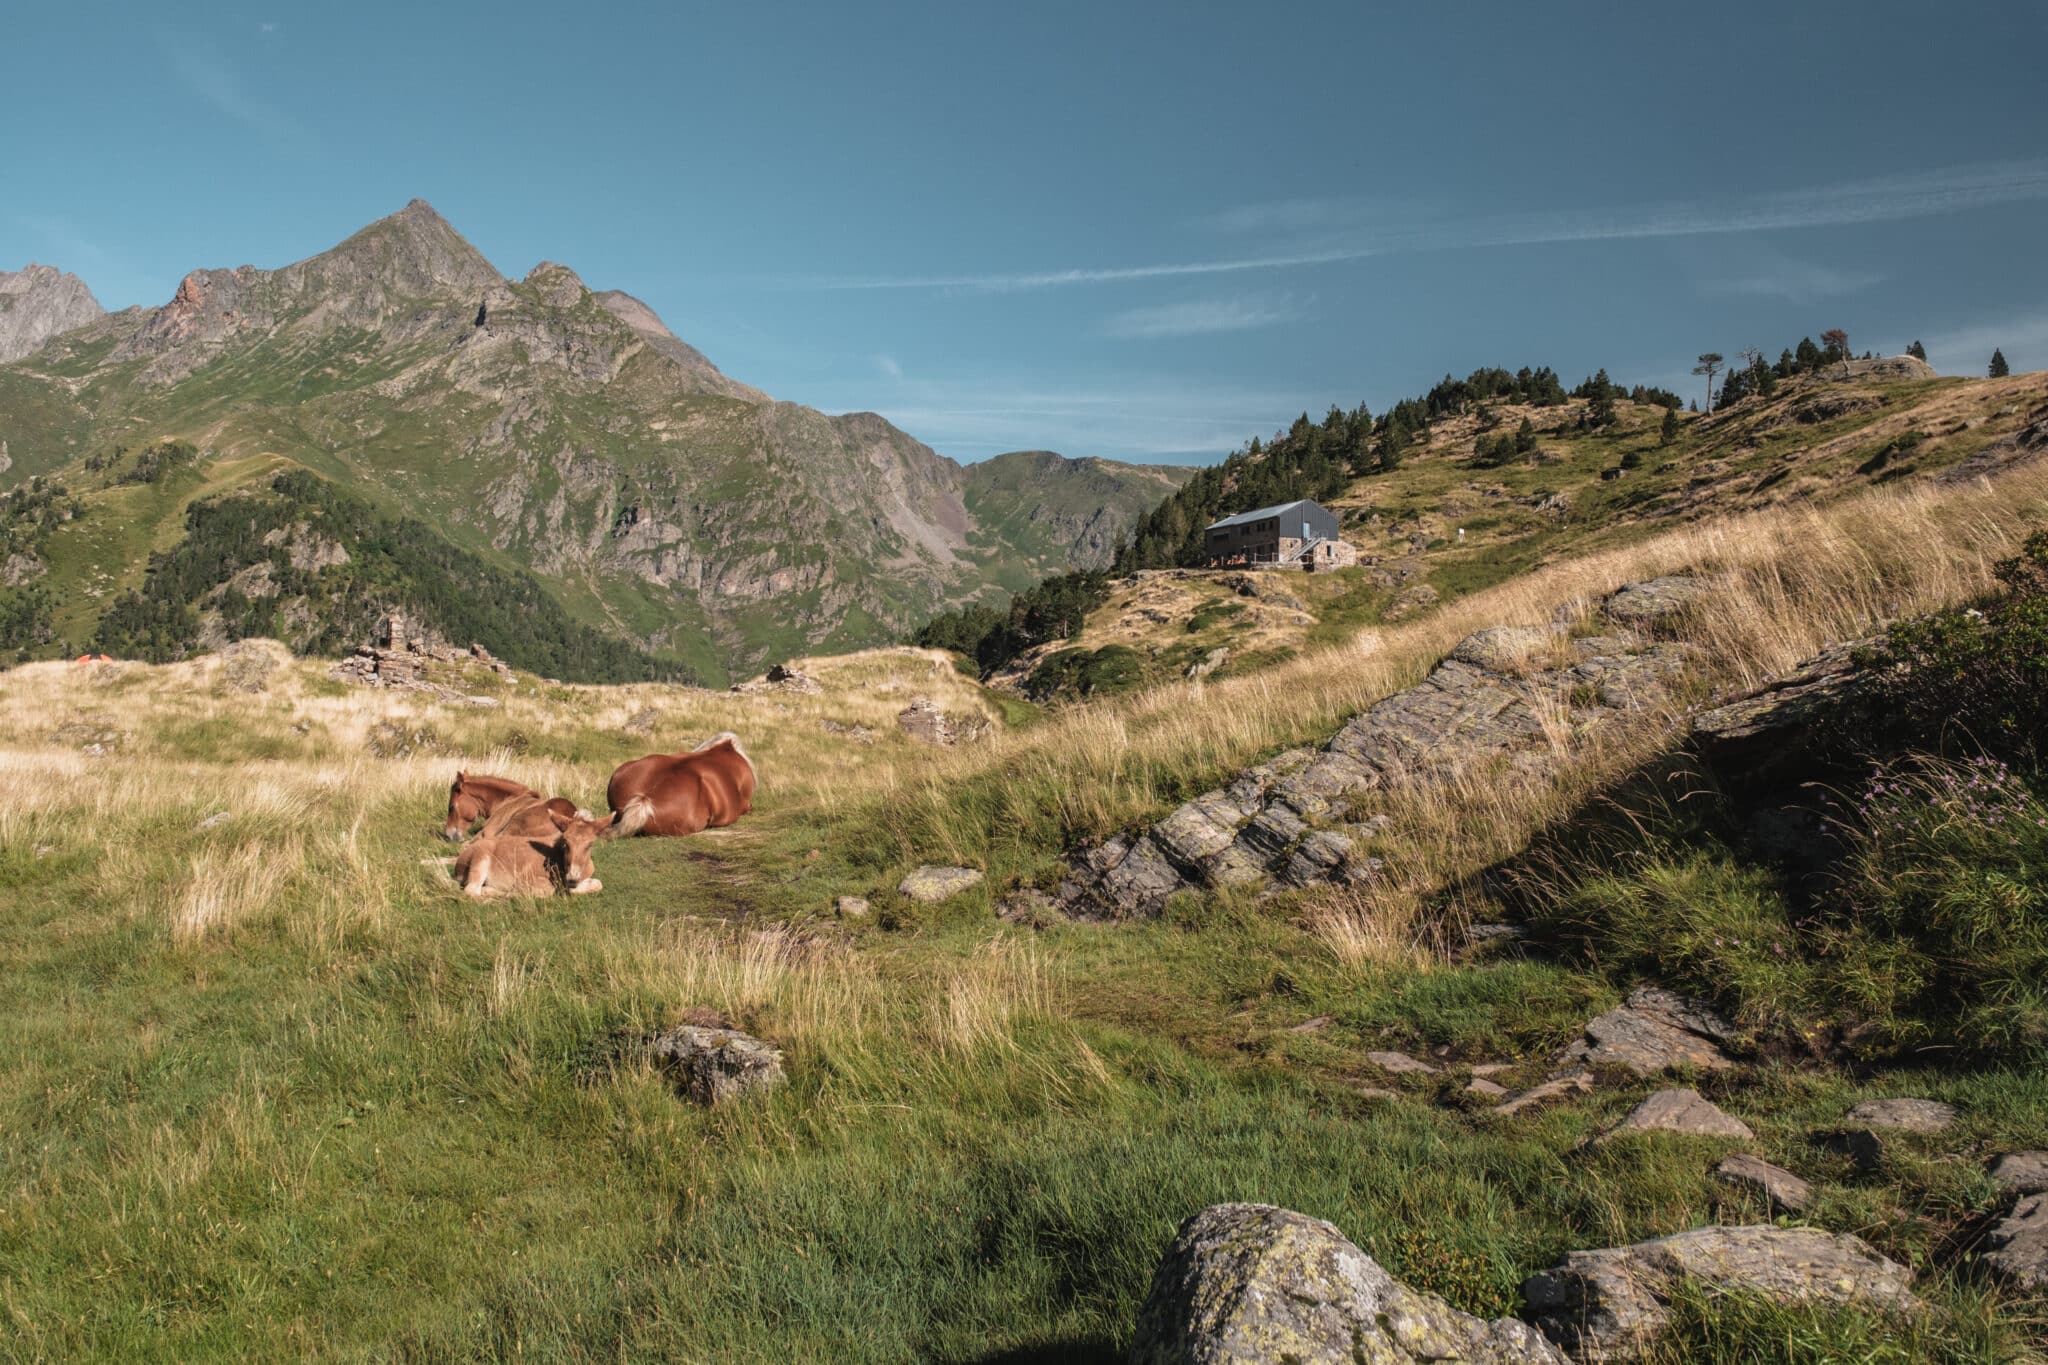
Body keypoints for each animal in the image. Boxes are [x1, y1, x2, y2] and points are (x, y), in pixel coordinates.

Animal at [446, 810, 610, 896]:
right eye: (565, 842)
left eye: (590, 844)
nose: (572, 878)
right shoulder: (529, 878)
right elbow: (549, 890)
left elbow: (598, 884)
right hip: (480, 859)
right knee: (471, 890)